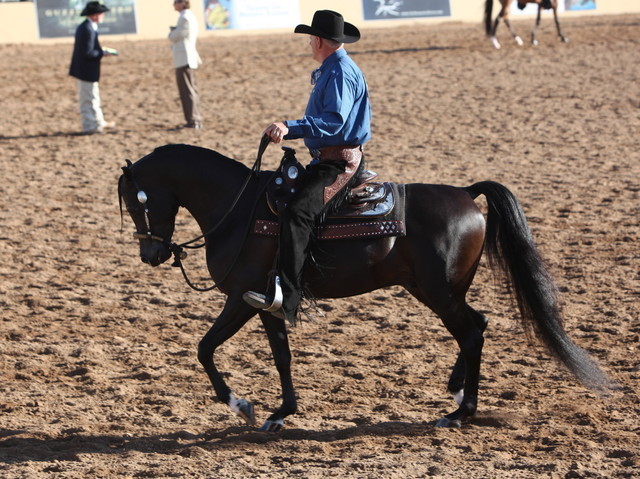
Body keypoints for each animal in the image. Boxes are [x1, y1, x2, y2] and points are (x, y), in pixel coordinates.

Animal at [118, 142, 610, 432]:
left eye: (139, 201)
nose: (151, 255)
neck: (239, 211)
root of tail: (467, 194)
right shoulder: (267, 303)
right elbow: (280, 355)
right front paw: (280, 413)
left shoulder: (241, 298)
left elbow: (204, 348)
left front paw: (241, 405)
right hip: (433, 290)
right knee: (480, 324)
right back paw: (456, 392)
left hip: (439, 293)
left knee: (471, 332)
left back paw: (460, 413)